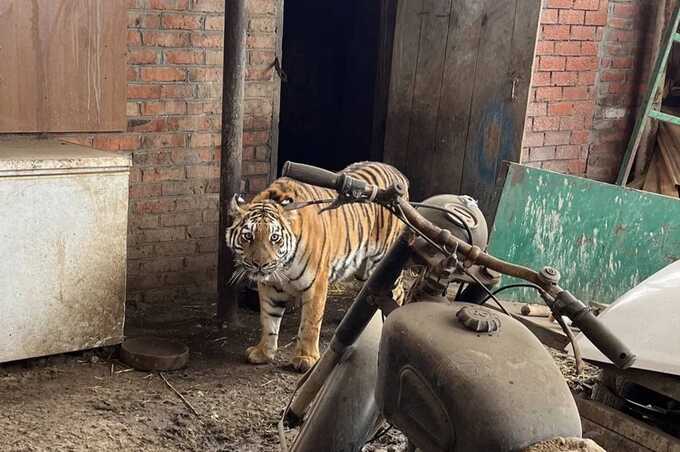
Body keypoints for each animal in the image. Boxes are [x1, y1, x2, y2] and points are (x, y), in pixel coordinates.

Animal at [226, 162, 406, 370]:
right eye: (248, 236)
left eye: (275, 238)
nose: (260, 265)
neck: (283, 268)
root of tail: (396, 171)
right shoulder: (269, 286)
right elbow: (268, 319)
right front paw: (263, 352)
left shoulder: (316, 283)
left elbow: (310, 323)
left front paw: (305, 358)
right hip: (365, 268)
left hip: (385, 260)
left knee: (398, 292)